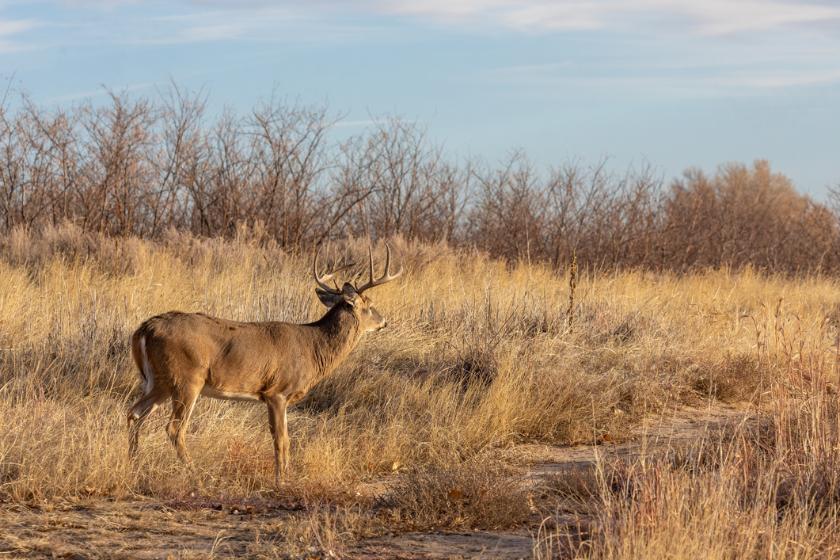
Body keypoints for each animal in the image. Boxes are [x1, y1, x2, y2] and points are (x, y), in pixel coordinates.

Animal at [125, 245, 404, 486]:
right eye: (370, 305)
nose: (385, 322)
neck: (313, 348)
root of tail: (144, 329)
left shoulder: (281, 397)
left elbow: (287, 439)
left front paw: (287, 477)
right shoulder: (277, 392)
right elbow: (281, 438)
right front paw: (281, 482)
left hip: (160, 381)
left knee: (134, 413)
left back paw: (133, 464)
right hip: (187, 379)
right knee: (174, 428)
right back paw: (197, 475)